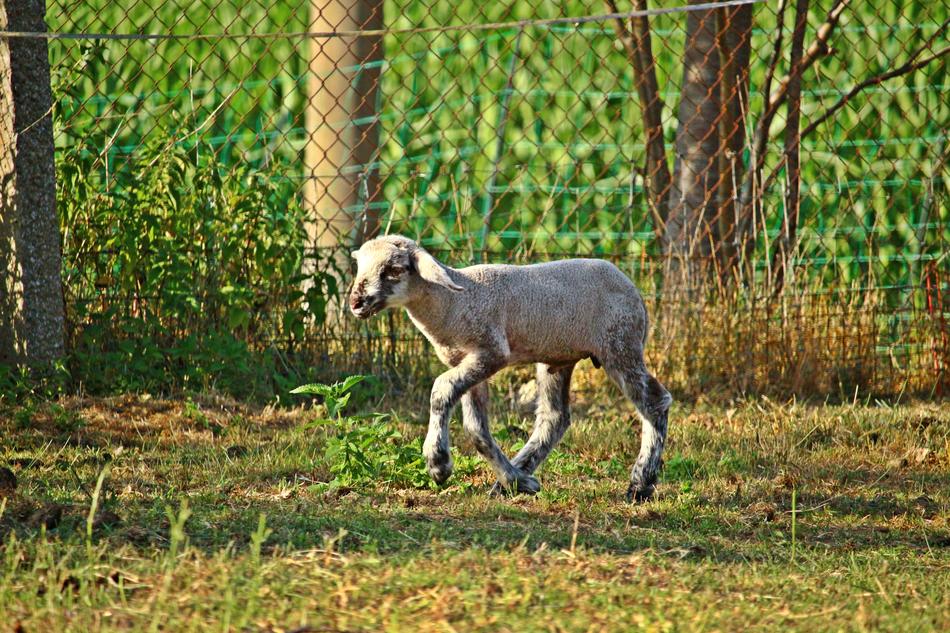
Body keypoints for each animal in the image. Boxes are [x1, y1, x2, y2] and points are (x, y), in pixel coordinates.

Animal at [348, 235, 672, 501]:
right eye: (359, 266)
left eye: (394, 269)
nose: (356, 302)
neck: (453, 301)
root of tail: (634, 290)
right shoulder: (466, 364)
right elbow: (476, 428)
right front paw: (513, 480)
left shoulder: (491, 352)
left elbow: (441, 389)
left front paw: (438, 463)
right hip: (557, 358)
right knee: (555, 417)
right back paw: (517, 479)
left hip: (620, 344)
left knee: (655, 402)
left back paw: (640, 484)